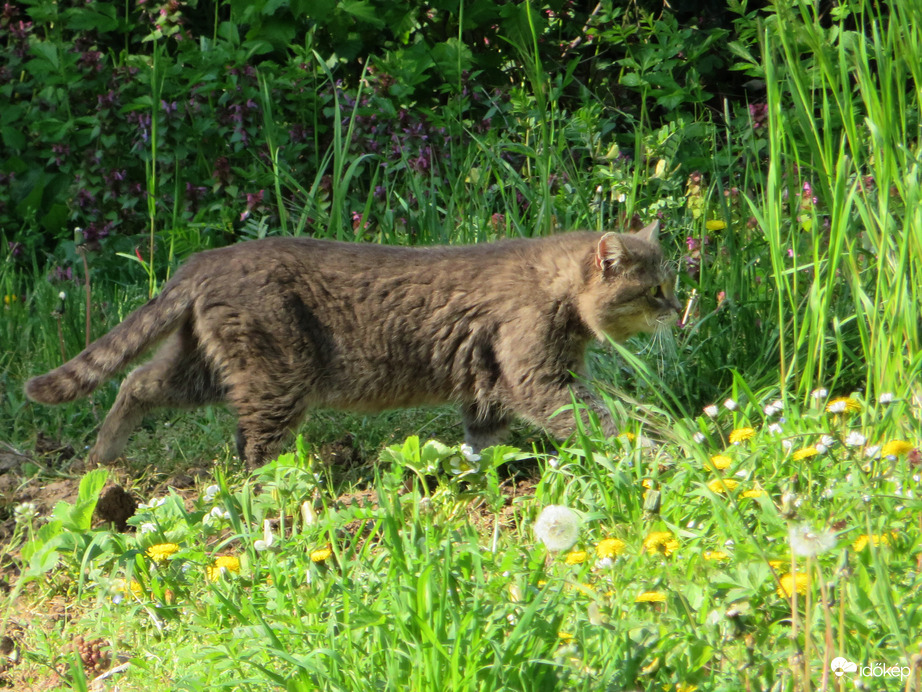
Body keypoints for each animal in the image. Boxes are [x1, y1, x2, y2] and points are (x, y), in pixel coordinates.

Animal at [25, 222, 680, 468]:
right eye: (655, 291)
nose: (679, 311)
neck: (558, 291)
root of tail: (206, 259)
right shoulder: (538, 379)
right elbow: (600, 419)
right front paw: (654, 451)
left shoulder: (488, 387)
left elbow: (481, 441)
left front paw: (476, 471)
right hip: (277, 378)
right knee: (253, 450)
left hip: (204, 369)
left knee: (136, 384)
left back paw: (101, 460)